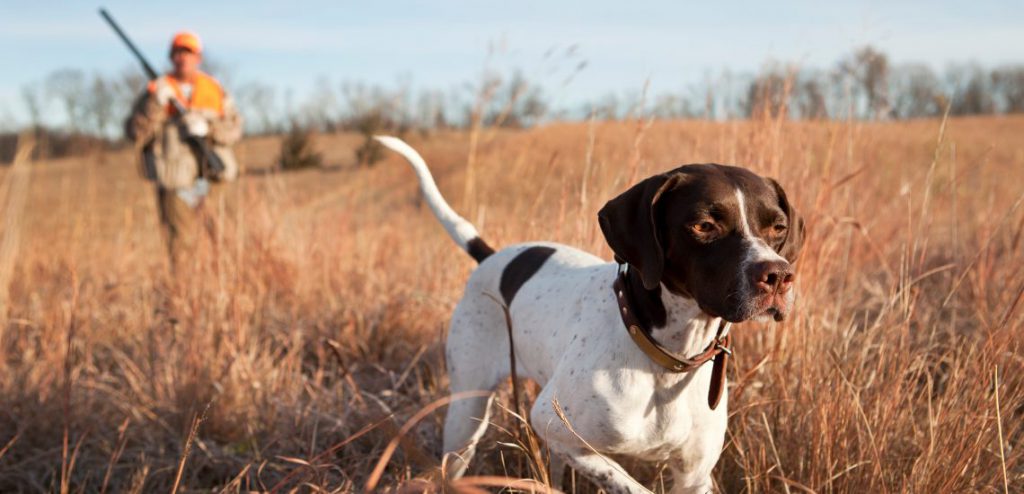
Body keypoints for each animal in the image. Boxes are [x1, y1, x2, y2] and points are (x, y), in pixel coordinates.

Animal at [372, 136, 802, 494]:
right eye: (704, 225)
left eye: (778, 227)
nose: (778, 276)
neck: (664, 355)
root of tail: (490, 257)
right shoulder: (554, 425)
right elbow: (630, 485)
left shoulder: (694, 474)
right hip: (467, 416)